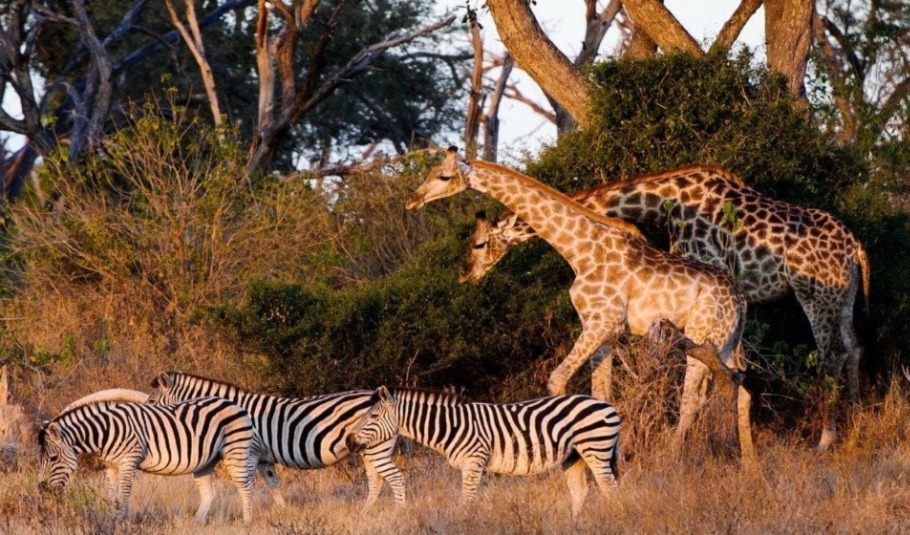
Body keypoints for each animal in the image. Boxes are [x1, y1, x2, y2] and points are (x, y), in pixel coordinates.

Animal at [39, 398, 260, 524]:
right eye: (40, 460)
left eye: (53, 458)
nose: (42, 490)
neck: (106, 431)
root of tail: (235, 404)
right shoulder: (111, 466)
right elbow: (112, 496)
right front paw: (111, 520)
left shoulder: (128, 461)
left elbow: (124, 494)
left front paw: (122, 523)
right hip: (206, 462)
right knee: (209, 492)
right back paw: (196, 523)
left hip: (236, 451)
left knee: (246, 487)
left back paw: (247, 522)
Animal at [150, 370, 406, 508]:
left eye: (152, 401)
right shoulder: (264, 457)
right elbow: (272, 484)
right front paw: (282, 512)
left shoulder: (250, 451)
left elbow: (248, 483)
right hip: (367, 449)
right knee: (377, 480)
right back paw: (366, 511)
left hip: (376, 448)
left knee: (394, 478)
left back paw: (396, 512)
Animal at [346, 386, 624, 520]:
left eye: (372, 416)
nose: (349, 441)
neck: (452, 426)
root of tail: (606, 404)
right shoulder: (474, 465)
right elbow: (472, 499)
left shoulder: (474, 461)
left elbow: (466, 501)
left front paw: (462, 524)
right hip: (574, 456)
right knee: (580, 491)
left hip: (596, 448)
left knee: (610, 489)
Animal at [460, 165, 872, 450]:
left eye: (478, 244)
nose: (466, 275)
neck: (666, 204)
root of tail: (856, 247)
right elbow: (727, 374)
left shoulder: (708, 269)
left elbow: (705, 381)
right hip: (846, 296)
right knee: (854, 347)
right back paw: (856, 419)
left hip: (815, 295)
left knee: (831, 354)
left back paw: (826, 438)